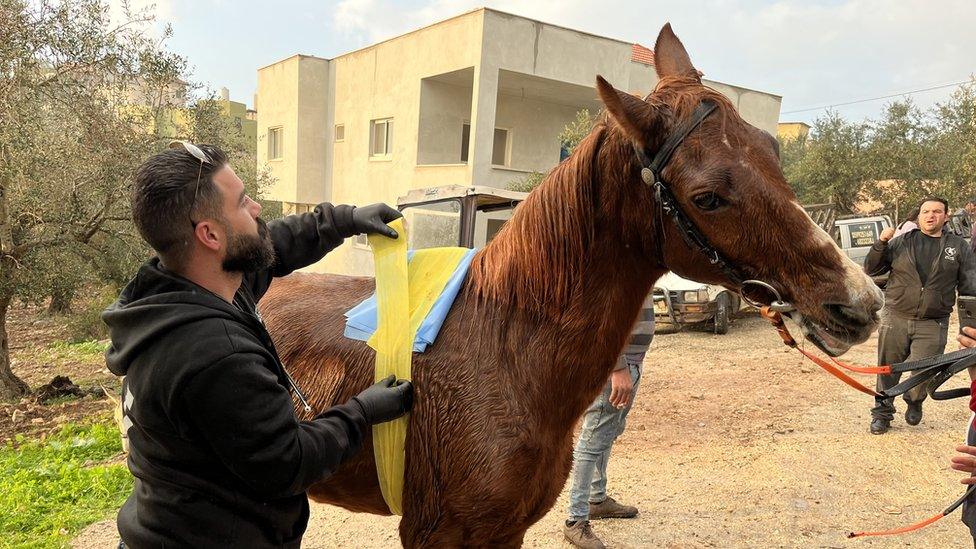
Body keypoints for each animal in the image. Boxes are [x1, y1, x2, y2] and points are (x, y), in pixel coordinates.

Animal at [262, 23, 884, 544]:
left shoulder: (505, 530)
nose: (859, 303)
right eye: (707, 196)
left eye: (772, 148)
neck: (505, 348)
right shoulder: (435, 532)